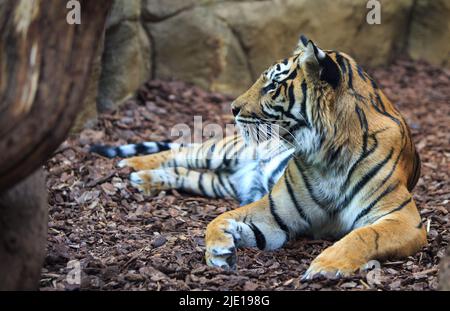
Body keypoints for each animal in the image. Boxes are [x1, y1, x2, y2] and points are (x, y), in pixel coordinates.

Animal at [91, 35, 426, 282]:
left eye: (273, 85)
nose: (232, 108)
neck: (327, 152)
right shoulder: (275, 209)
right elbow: (218, 218)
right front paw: (219, 248)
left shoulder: (404, 219)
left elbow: (365, 235)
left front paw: (325, 266)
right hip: (220, 151)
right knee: (177, 152)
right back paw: (132, 166)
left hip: (217, 182)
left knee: (184, 174)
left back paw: (145, 179)